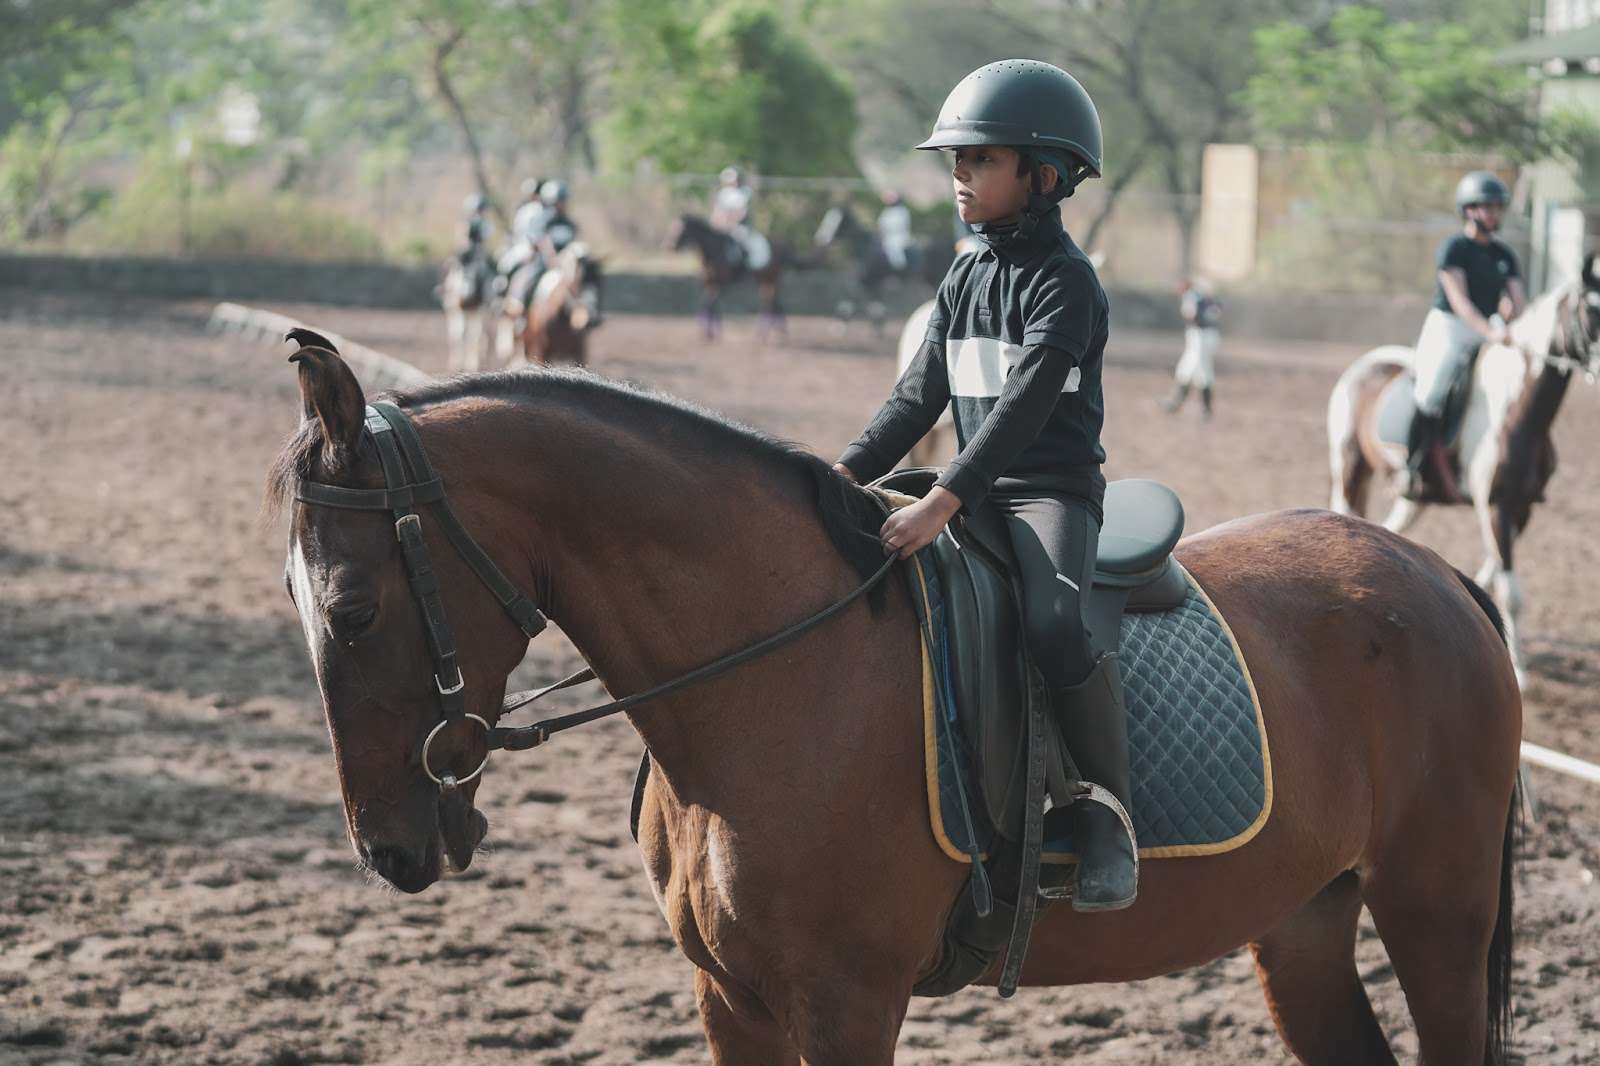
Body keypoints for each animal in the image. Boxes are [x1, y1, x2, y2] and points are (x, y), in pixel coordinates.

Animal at [271, 338, 1521, 1066]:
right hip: (1306, 918)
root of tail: (1431, 576)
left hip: (1434, 911)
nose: (389, 848)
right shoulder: (730, 998)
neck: (769, 679)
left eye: (353, 613)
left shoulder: (847, 1001)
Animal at [437, 243, 495, 372]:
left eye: (476, 273)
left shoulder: (477, 310)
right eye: (458, 269)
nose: (466, 295)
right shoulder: (456, 310)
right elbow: (458, 334)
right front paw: (456, 364)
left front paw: (472, 365)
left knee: (482, 332)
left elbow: (473, 335)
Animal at [667, 212, 799, 342]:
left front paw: (708, 334)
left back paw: (771, 334)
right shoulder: (710, 283)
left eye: (680, 228)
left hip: (771, 278)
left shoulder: (722, 284)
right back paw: (772, 334)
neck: (714, 250)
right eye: (672, 227)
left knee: (771, 304)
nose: (670, 246)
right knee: (773, 303)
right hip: (765, 280)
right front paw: (712, 333)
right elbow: (709, 305)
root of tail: (781, 245)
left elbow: (710, 304)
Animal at [1328, 252, 1600, 687]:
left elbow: (1493, 574)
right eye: (1591, 309)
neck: (1519, 409)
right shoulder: (1496, 505)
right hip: (1350, 469)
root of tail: (1364, 365)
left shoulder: (1521, 508)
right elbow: (1512, 592)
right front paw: (1521, 671)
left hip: (1414, 497)